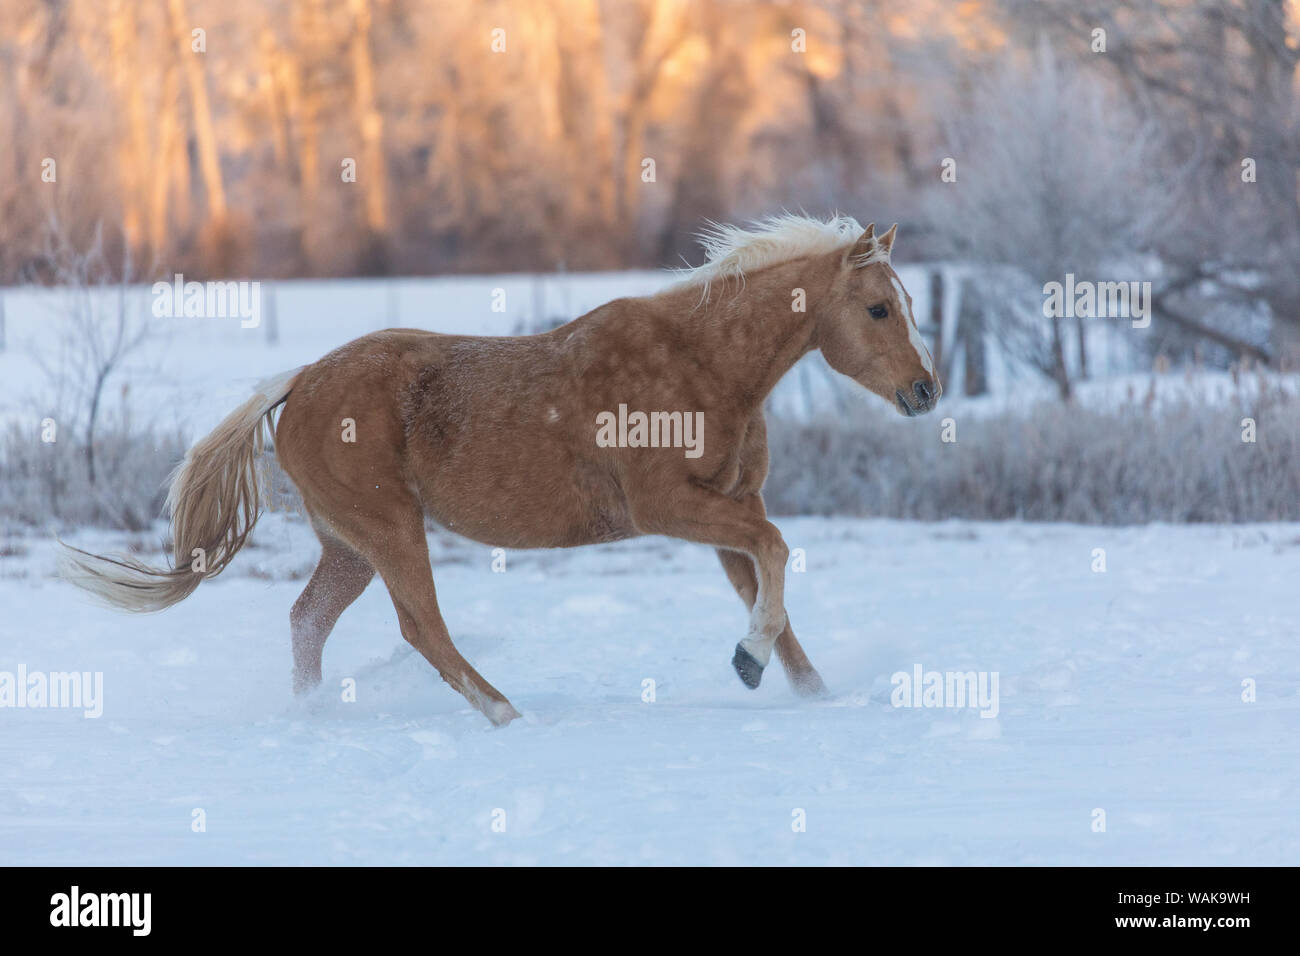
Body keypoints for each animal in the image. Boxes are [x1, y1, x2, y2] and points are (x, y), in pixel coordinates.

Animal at [61, 215, 940, 727]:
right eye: (877, 308)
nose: (926, 392)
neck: (702, 365)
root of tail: (298, 382)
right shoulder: (670, 507)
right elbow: (779, 551)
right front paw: (748, 661)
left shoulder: (726, 511)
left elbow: (773, 590)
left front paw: (806, 690)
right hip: (389, 528)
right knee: (422, 628)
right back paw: (507, 714)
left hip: (348, 545)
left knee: (308, 621)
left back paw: (314, 716)